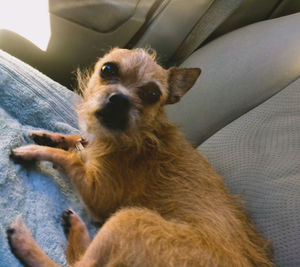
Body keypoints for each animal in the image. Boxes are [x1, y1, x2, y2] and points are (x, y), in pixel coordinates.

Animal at [8, 48, 272, 267]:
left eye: (153, 94)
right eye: (108, 69)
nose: (120, 99)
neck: (135, 135)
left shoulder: (98, 195)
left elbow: (69, 158)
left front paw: (35, 150)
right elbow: (76, 140)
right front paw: (51, 136)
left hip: (128, 219)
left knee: (77, 265)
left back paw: (26, 239)